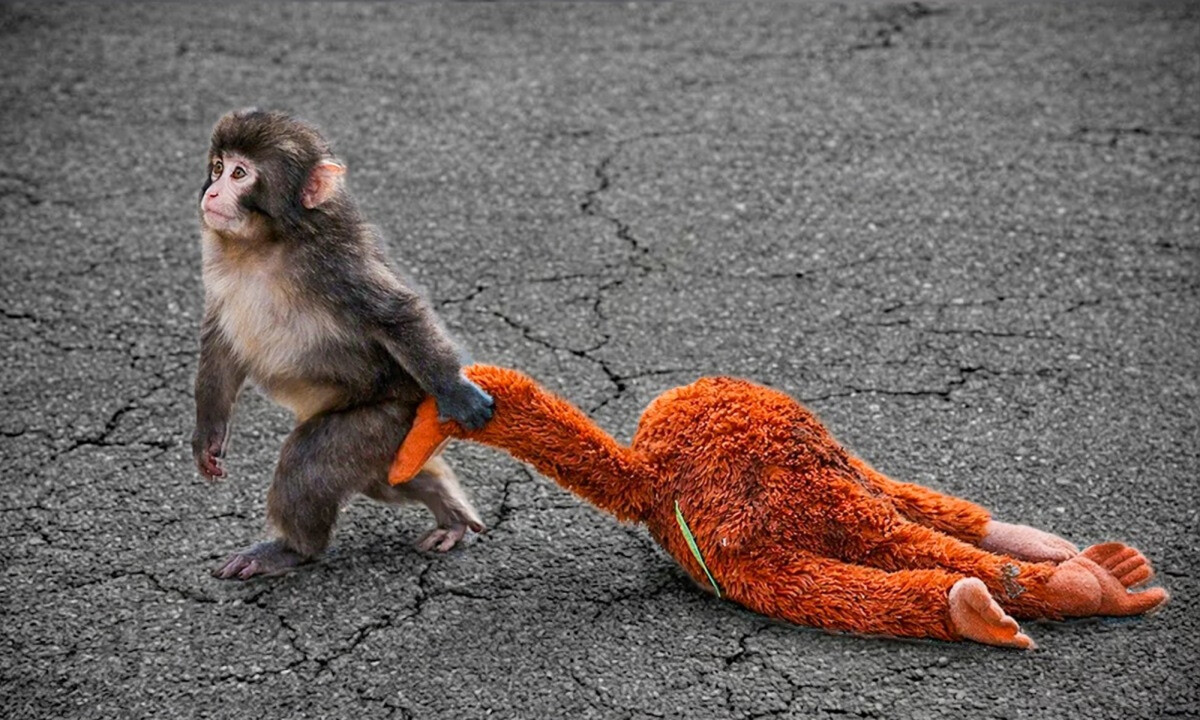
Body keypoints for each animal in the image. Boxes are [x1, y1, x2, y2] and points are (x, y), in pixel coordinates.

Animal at [193, 109, 494, 580]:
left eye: (240, 174)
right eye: (219, 166)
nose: (213, 191)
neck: (264, 243)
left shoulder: (335, 262)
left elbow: (396, 314)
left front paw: (458, 391)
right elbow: (220, 342)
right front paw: (208, 434)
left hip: (389, 417)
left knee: (311, 463)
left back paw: (292, 549)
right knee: (385, 479)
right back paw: (450, 511)